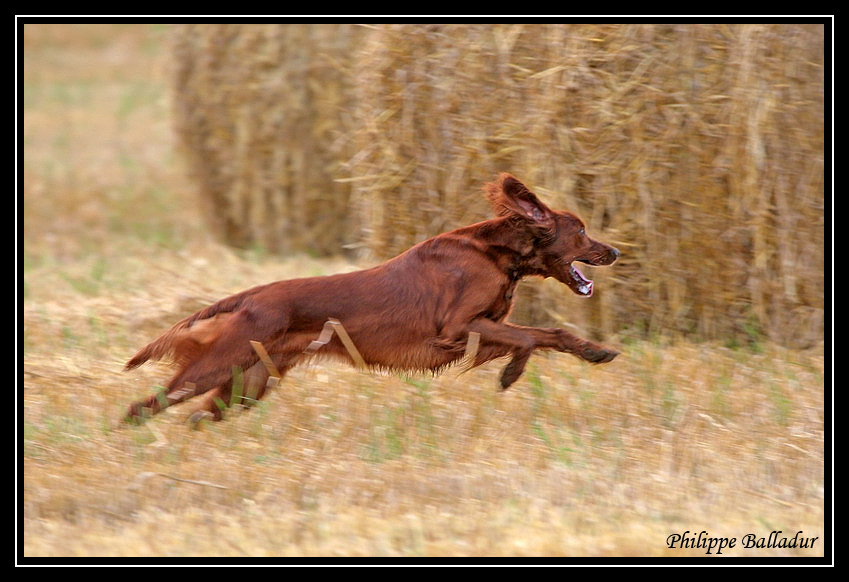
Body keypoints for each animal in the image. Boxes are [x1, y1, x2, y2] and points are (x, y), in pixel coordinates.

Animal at [124, 173, 616, 424]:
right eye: (581, 231)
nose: (614, 252)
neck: (496, 252)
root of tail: (253, 295)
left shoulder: (484, 327)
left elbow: (550, 334)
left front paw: (596, 351)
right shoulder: (458, 328)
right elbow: (531, 337)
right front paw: (511, 375)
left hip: (248, 383)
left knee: (199, 415)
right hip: (218, 366)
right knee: (145, 405)